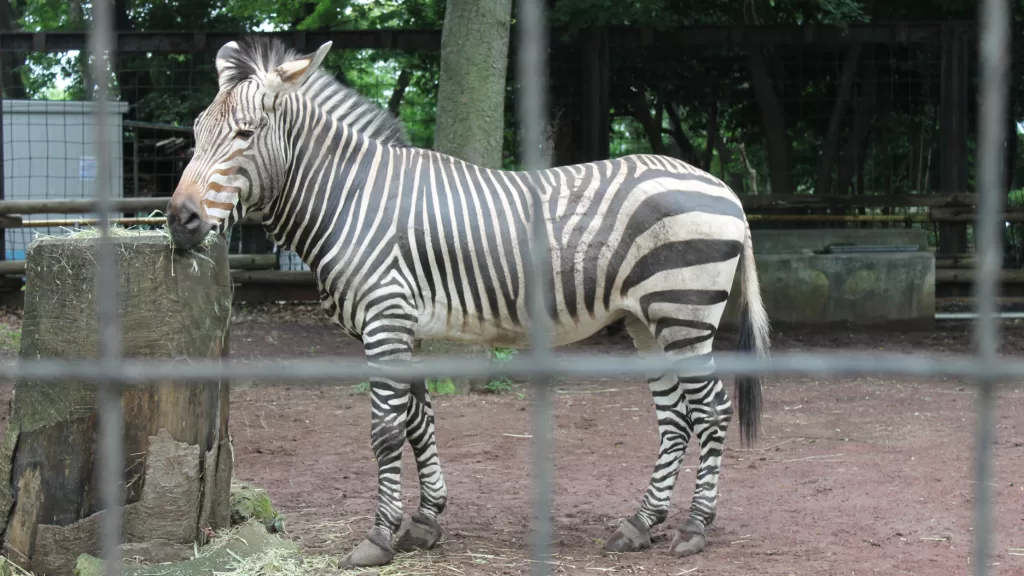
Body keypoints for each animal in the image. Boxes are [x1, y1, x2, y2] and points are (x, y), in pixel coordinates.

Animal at [169, 38, 770, 565]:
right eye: (196, 134)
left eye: (245, 133)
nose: (179, 220)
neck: (350, 199)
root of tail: (724, 188)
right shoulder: (404, 326)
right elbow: (418, 422)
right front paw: (425, 521)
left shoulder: (385, 319)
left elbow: (386, 430)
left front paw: (379, 538)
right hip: (646, 321)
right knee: (676, 419)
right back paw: (640, 524)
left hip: (683, 311)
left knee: (712, 411)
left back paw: (694, 529)